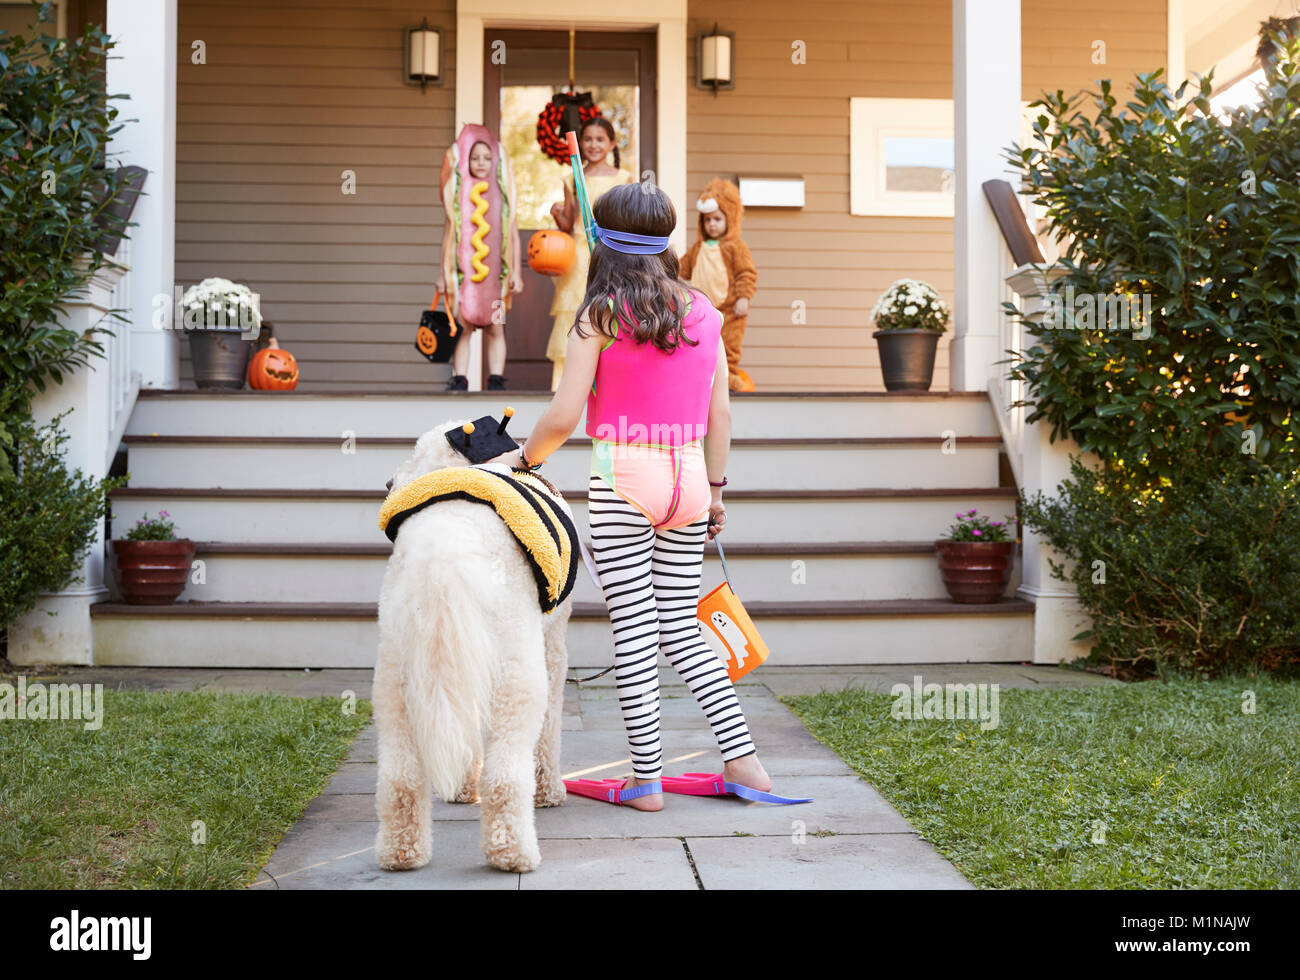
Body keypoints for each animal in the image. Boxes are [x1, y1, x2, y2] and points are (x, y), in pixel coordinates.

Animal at [369, 418, 566, 868]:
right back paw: (512, 853)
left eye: (417, 454)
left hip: (395, 674)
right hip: (516, 671)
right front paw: (550, 792)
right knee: (506, 775)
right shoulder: (552, 650)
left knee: (400, 777)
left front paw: (461, 788)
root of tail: (443, 551)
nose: (388, 482)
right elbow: (549, 732)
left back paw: (402, 852)